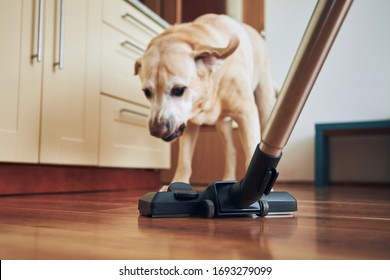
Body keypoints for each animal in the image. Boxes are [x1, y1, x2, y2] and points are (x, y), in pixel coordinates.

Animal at [134, 13, 278, 188]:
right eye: (147, 92)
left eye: (178, 90)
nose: (156, 130)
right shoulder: (189, 124)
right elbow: (184, 161)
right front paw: (176, 184)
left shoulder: (246, 115)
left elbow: (252, 152)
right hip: (222, 125)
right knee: (231, 152)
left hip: (265, 107)